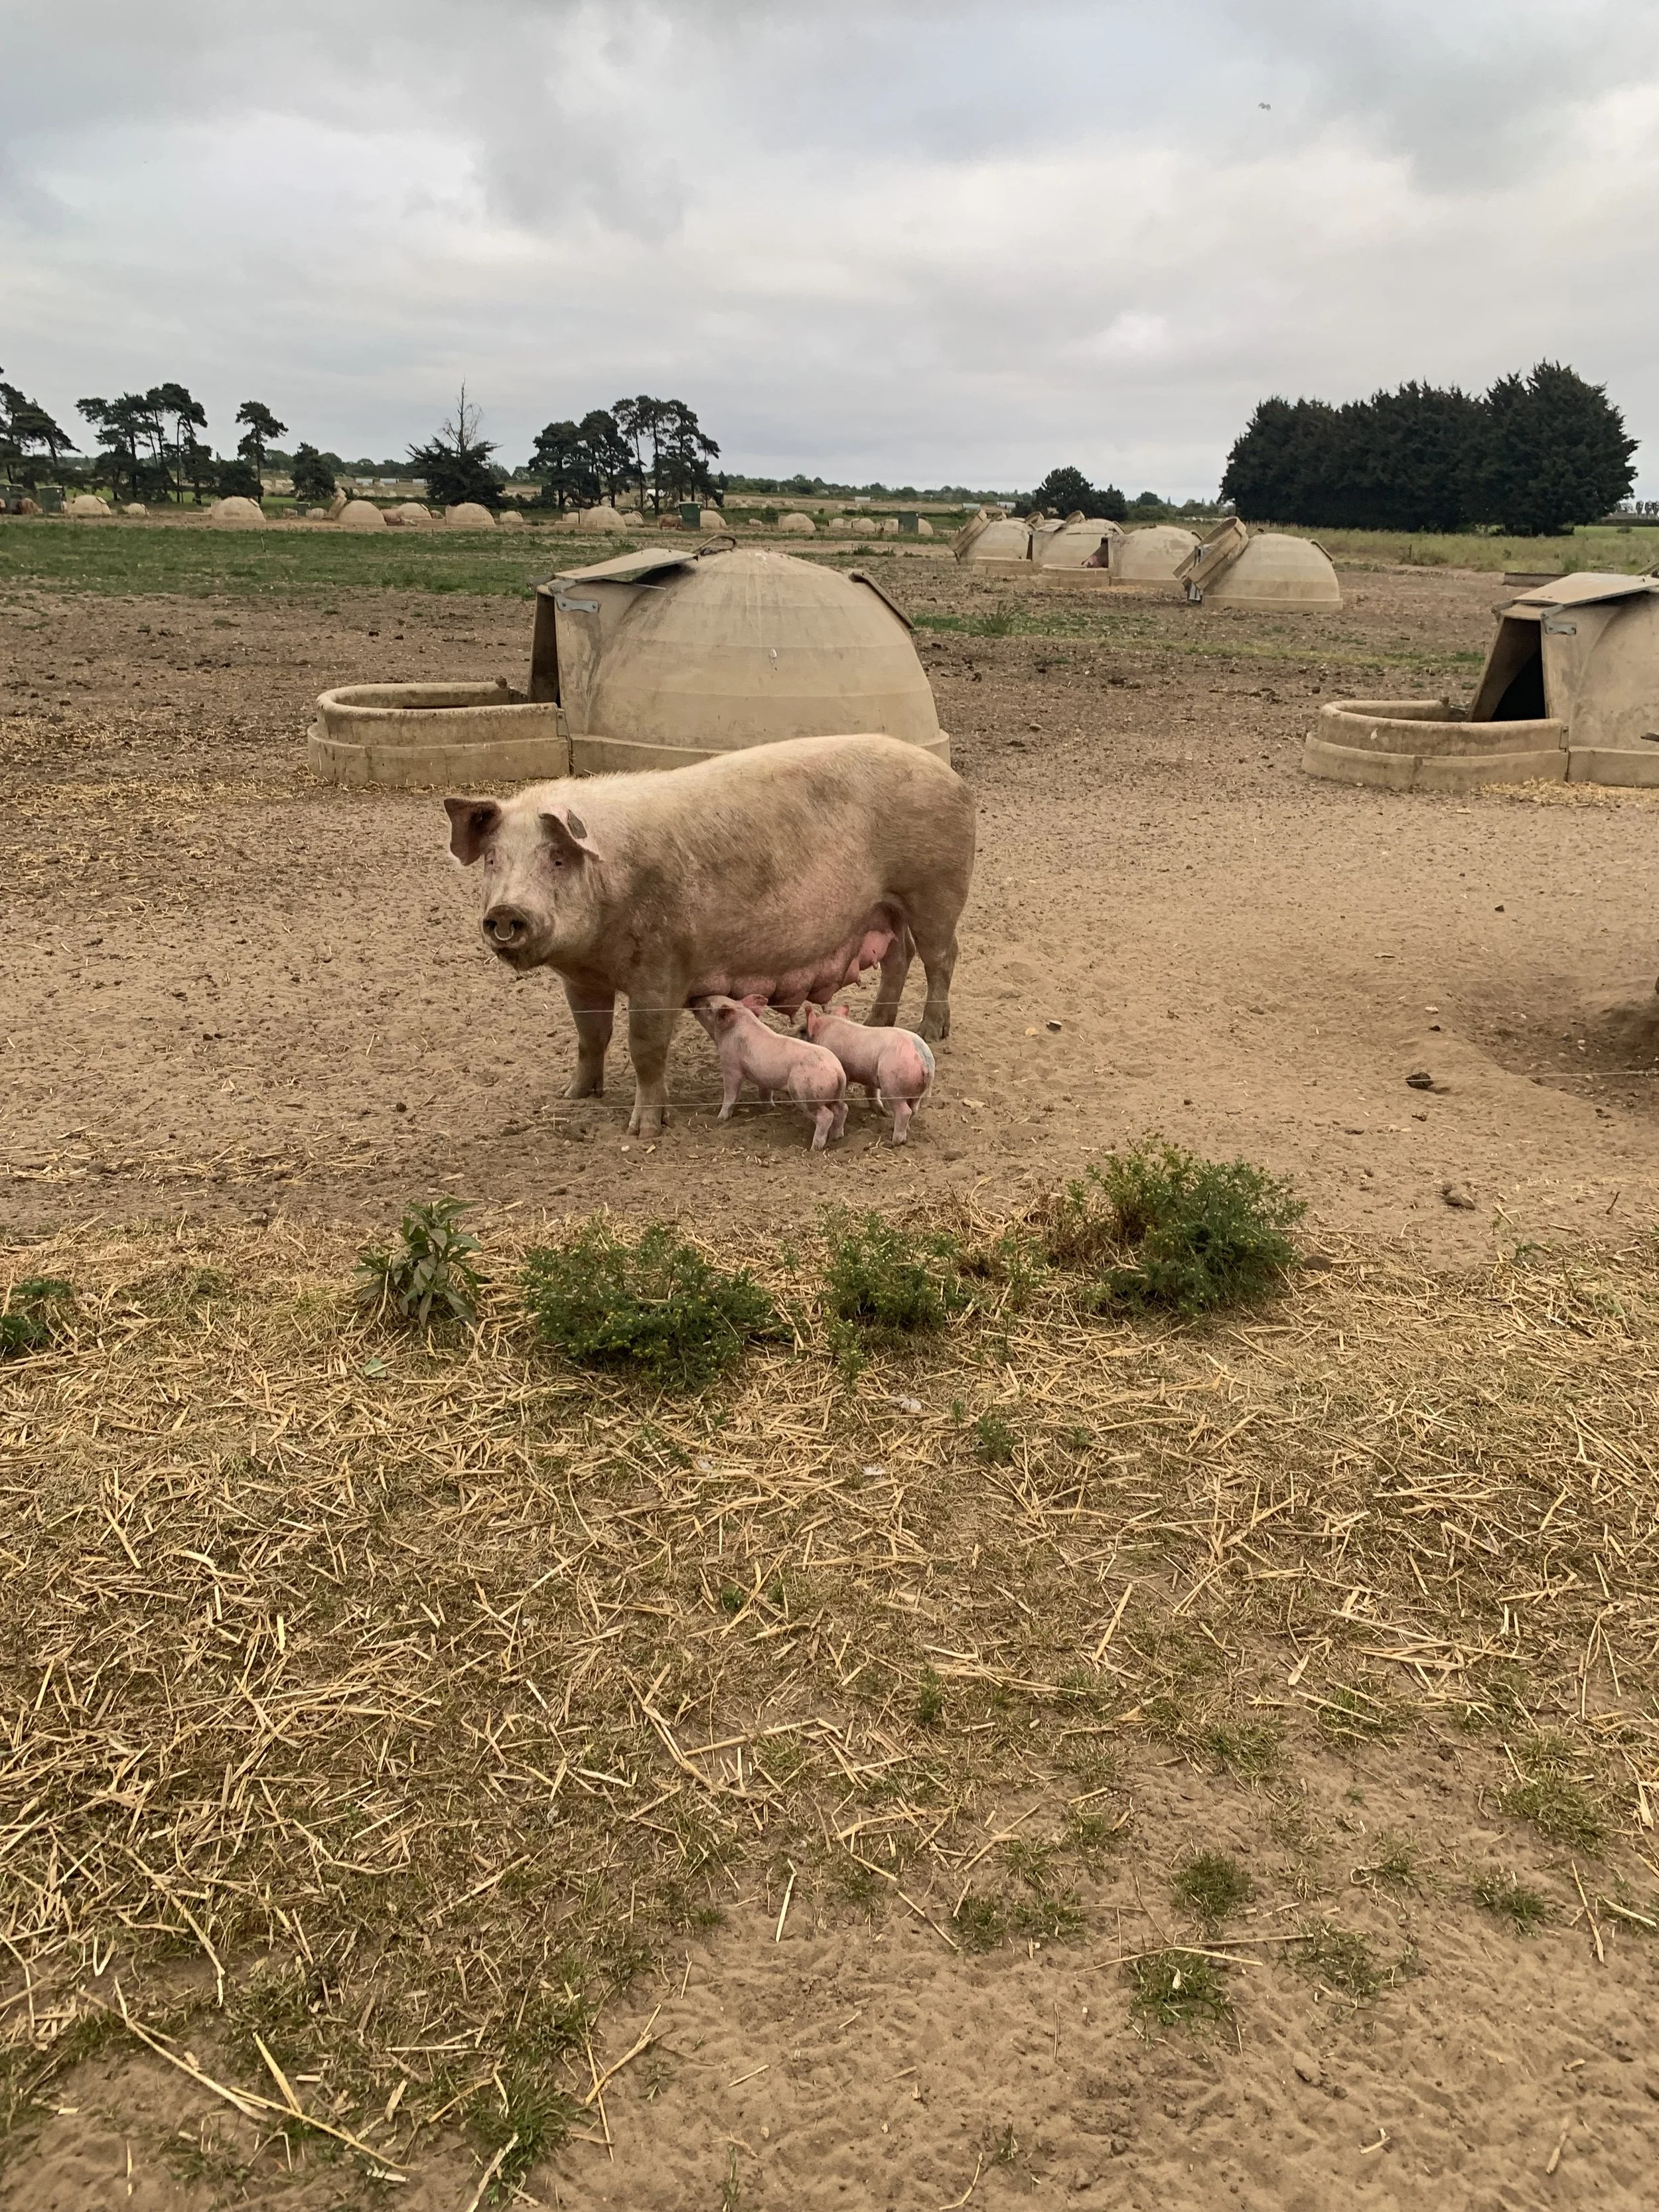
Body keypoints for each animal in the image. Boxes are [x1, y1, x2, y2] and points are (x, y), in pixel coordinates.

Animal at [692, 996, 848, 1149]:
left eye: (708, 1005)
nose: (695, 1000)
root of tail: (838, 1071)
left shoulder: (731, 1066)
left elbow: (731, 1095)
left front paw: (721, 1118)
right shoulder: (763, 1077)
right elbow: (765, 1093)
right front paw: (771, 1108)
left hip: (805, 1093)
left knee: (826, 1116)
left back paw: (815, 1148)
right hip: (834, 1096)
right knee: (842, 1109)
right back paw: (837, 1137)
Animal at [802, 1004, 935, 1144]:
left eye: (802, 1030)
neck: (824, 1031)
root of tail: (925, 1062)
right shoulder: (872, 1077)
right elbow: (871, 1091)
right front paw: (879, 1111)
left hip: (893, 1086)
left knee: (905, 1112)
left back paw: (895, 1141)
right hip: (915, 1093)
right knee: (914, 1110)